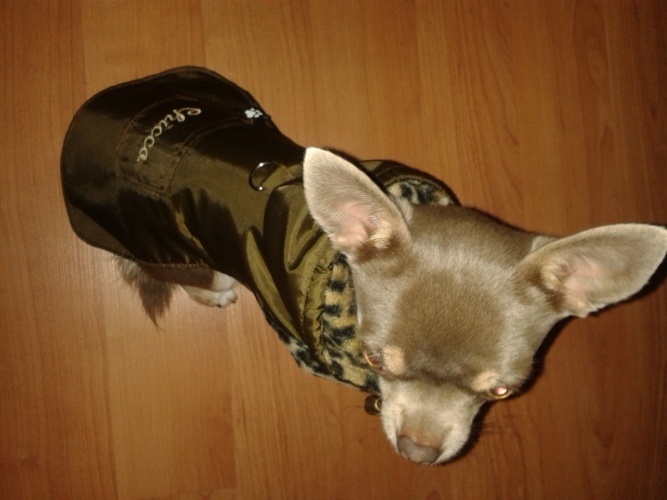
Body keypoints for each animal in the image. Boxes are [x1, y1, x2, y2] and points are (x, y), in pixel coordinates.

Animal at [62, 67, 667, 464]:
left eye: (502, 393)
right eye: (376, 358)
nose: (418, 453)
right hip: (166, 243)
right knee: (177, 273)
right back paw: (211, 289)